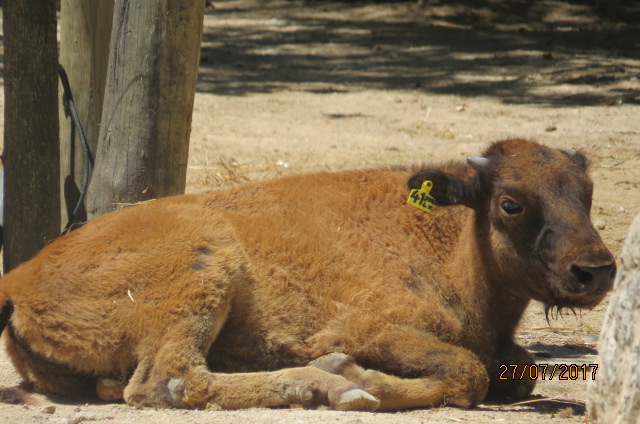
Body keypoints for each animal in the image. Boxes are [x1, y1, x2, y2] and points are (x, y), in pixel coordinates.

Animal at [0, 139, 615, 411]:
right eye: (510, 203)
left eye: (587, 194)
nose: (597, 271)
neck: (449, 235)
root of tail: (20, 278)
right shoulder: (369, 328)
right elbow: (468, 372)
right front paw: (359, 382)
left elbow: (520, 370)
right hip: (205, 269)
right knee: (170, 381)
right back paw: (326, 383)